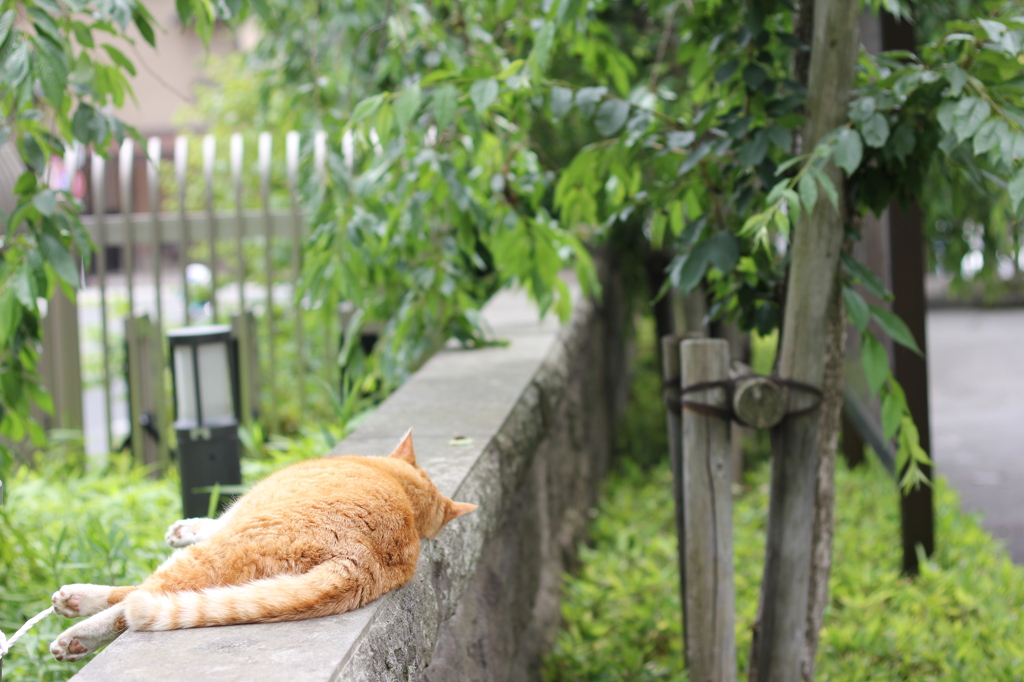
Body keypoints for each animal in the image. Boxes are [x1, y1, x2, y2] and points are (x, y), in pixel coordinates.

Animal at [48, 430, 475, 659]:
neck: (403, 489)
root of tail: (360, 558)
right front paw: (183, 527)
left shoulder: (239, 510)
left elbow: (214, 521)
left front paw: (184, 528)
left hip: (210, 554)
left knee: (136, 598)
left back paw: (75, 622)